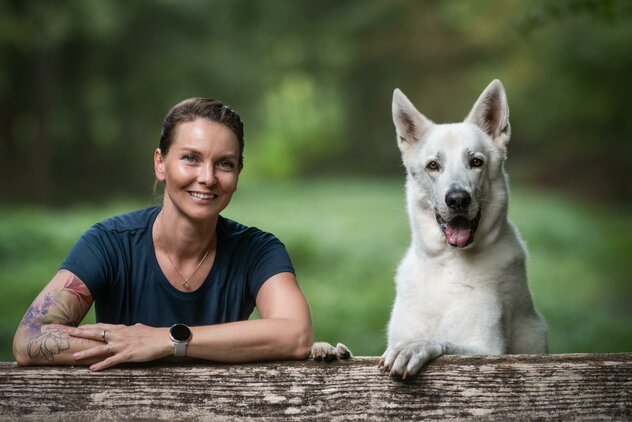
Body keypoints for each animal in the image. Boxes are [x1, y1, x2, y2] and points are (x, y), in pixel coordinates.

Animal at [380, 80, 548, 380]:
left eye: (476, 162)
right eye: (433, 165)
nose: (458, 199)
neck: (447, 264)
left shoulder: (488, 349)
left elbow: (443, 342)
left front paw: (414, 347)